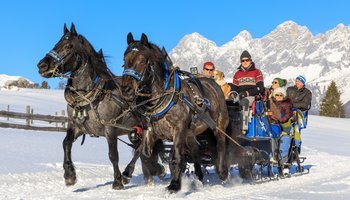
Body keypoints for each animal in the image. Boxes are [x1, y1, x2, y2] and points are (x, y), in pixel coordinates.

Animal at [37, 24, 165, 190]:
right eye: (56, 44)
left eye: (69, 46)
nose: (42, 66)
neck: (89, 98)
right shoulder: (76, 127)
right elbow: (66, 143)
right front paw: (69, 175)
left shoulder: (110, 129)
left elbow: (113, 155)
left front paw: (117, 181)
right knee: (142, 150)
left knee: (141, 149)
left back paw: (130, 173)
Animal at [121, 32, 231, 192]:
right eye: (124, 61)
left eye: (142, 60)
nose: (126, 89)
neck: (164, 97)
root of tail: (213, 83)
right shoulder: (150, 130)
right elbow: (143, 152)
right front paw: (128, 173)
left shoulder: (178, 129)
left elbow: (177, 157)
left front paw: (174, 184)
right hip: (190, 131)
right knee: (195, 150)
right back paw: (199, 177)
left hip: (219, 124)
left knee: (221, 143)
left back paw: (222, 172)